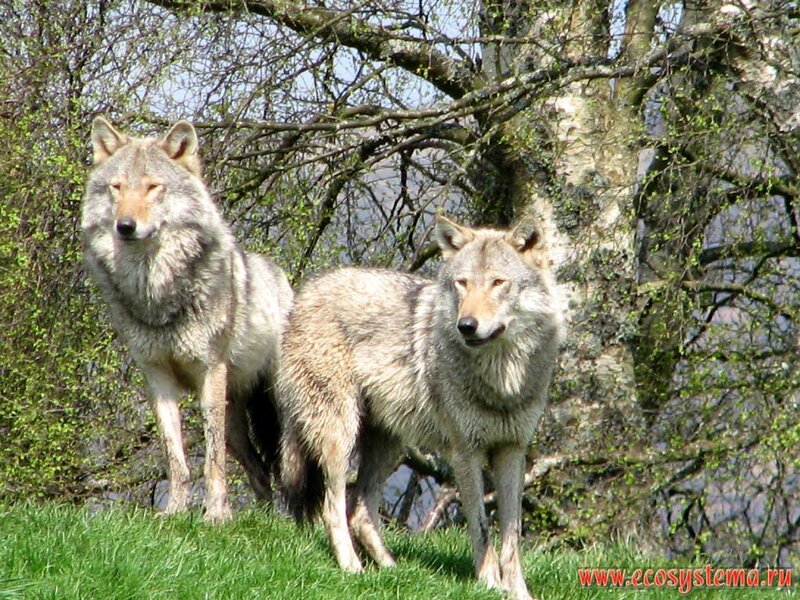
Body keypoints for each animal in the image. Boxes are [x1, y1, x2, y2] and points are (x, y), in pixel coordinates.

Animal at [81, 117, 293, 523]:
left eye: (152, 187)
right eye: (117, 187)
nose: (124, 226)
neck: (158, 294)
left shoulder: (210, 370)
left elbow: (211, 461)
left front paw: (216, 517)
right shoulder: (157, 377)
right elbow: (175, 457)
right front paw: (175, 511)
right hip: (235, 424)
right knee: (259, 471)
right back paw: (264, 518)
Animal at [278, 214, 564, 599]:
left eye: (497, 283)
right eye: (462, 283)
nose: (466, 325)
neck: (502, 377)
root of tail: (305, 291)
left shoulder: (512, 451)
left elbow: (511, 537)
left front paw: (518, 592)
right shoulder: (465, 453)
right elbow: (481, 528)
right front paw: (489, 585)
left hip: (390, 444)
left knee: (361, 511)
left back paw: (393, 572)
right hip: (341, 435)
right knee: (333, 508)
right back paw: (353, 569)